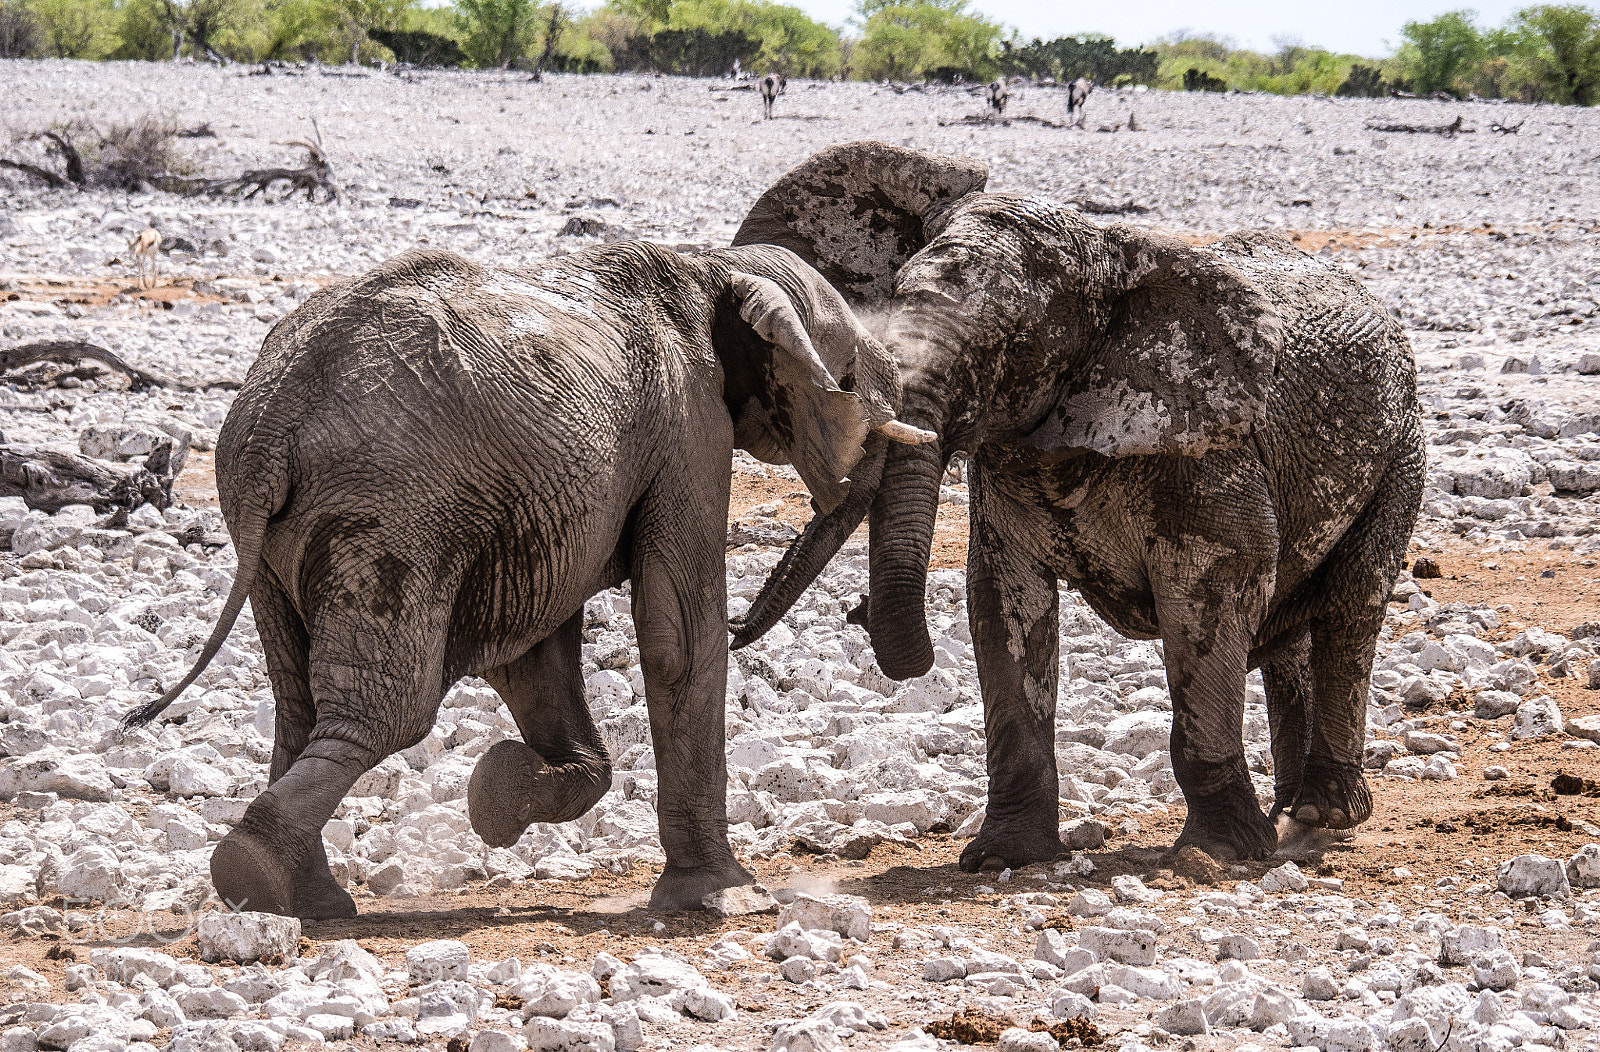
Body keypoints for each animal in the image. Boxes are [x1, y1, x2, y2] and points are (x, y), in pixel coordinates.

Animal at [124, 239, 930, 917]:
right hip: (391, 510)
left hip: (274, 533)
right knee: (391, 711)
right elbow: (677, 632)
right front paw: (723, 899)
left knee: (299, 706)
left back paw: (298, 898)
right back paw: (261, 876)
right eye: (849, 380)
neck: (717, 266)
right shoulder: (690, 427)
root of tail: (272, 419)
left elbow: (536, 656)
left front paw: (497, 800)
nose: (748, 632)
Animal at [729, 141, 1425, 868]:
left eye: (1012, 346)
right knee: (1288, 639)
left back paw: (1323, 815)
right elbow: (1004, 604)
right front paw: (1004, 858)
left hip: (1402, 451)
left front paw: (1219, 855)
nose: (734, 626)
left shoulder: (1212, 449)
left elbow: (1207, 598)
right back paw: (1291, 813)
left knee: (1351, 609)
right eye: (890, 302)